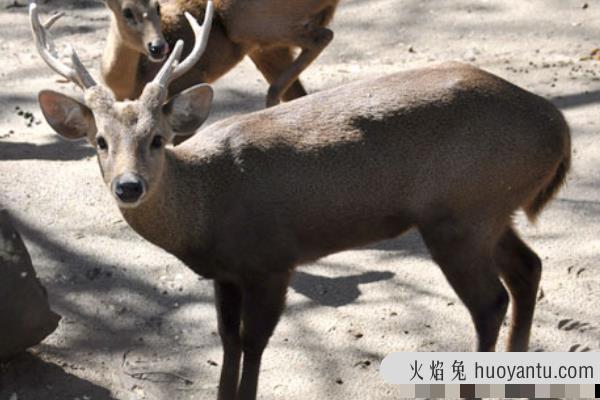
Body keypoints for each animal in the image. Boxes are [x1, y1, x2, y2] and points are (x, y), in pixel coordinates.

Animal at [101, 0, 340, 106]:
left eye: (157, 6)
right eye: (126, 12)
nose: (159, 47)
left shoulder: (190, 80)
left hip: (249, 23)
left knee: (323, 36)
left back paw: (269, 100)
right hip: (263, 47)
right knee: (297, 92)